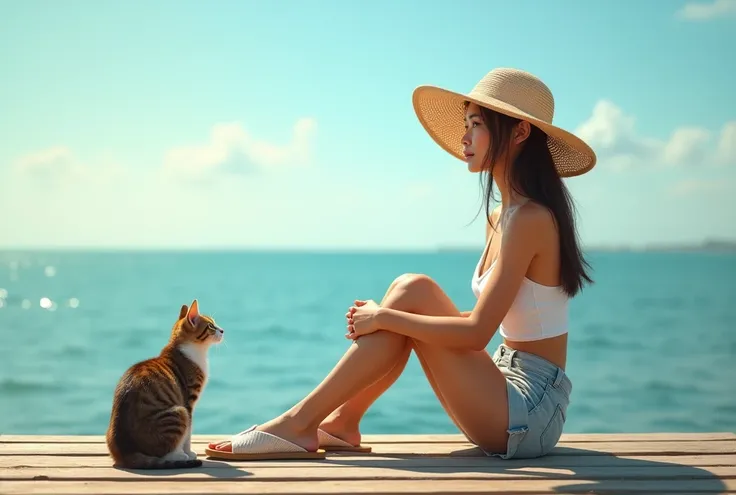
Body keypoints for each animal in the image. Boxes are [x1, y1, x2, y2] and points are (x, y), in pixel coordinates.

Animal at [105, 300, 223, 470]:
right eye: (211, 326)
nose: (222, 330)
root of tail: (126, 452)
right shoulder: (188, 402)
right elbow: (188, 434)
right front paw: (188, 452)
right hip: (178, 413)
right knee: (164, 450)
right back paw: (178, 455)